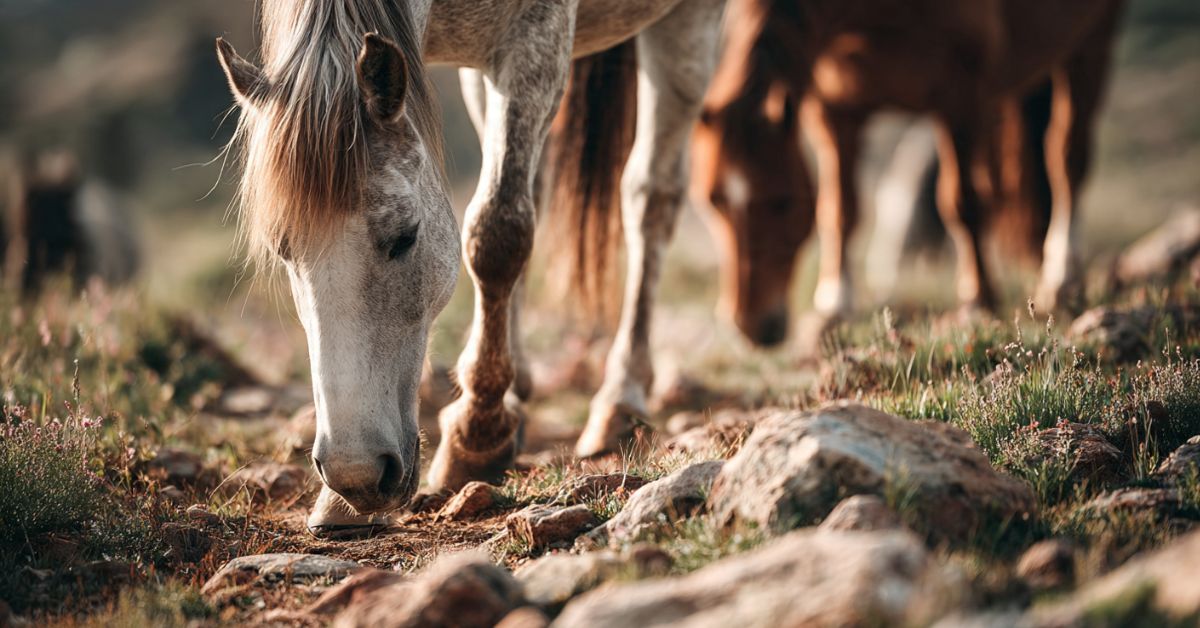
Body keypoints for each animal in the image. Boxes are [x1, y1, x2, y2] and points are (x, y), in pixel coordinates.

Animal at [215, 0, 726, 536]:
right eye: (282, 250)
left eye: (405, 236)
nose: (355, 475)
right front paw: (337, 502)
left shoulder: (531, 41)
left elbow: (498, 231)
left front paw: (477, 430)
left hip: (687, 24)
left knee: (650, 196)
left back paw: (620, 397)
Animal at [692, 0, 1123, 346]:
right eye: (712, 202)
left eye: (782, 202)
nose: (750, 326)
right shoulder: (834, 110)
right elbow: (840, 210)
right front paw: (834, 305)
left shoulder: (960, 97)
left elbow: (962, 203)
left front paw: (978, 300)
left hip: (1091, 39)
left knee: (1067, 160)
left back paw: (1061, 277)